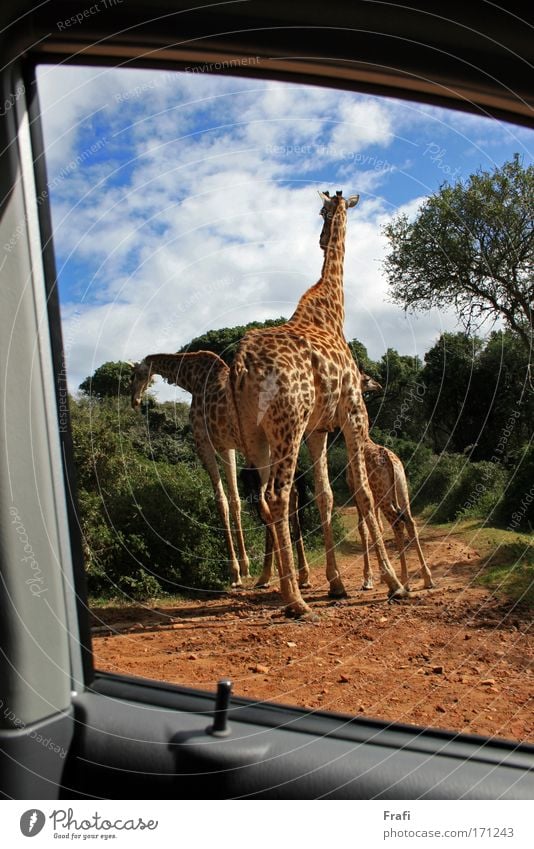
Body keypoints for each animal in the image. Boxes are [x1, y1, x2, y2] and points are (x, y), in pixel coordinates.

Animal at [231, 190, 410, 616]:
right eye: (322, 210)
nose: (321, 238)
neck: (332, 310)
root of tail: (241, 363)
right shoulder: (353, 412)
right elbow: (362, 493)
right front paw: (393, 584)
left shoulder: (318, 429)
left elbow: (327, 496)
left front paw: (337, 584)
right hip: (287, 426)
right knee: (279, 496)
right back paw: (295, 600)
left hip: (255, 437)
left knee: (265, 500)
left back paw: (283, 586)